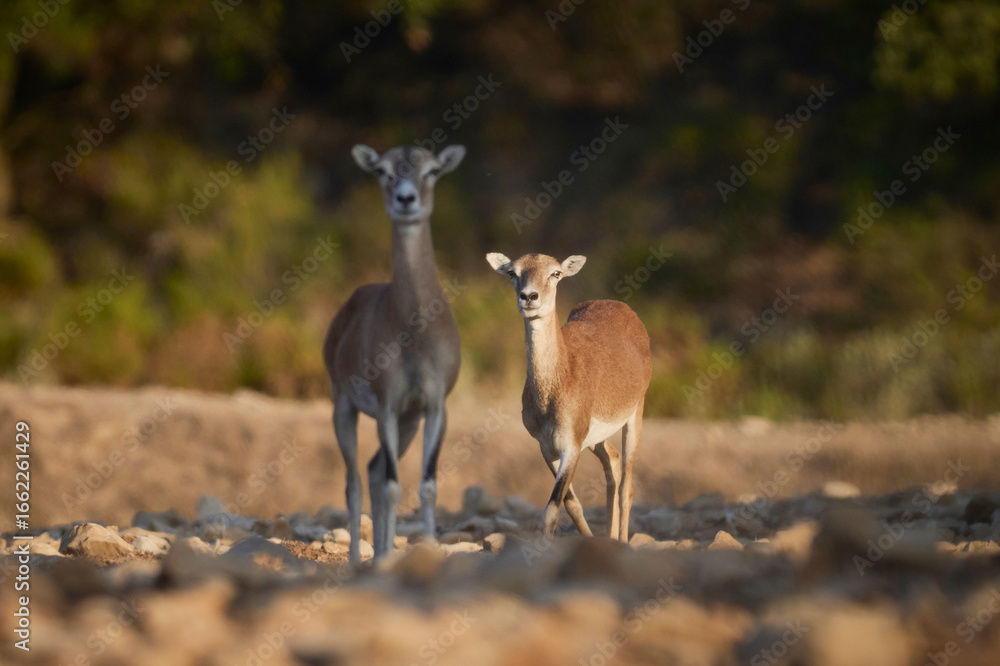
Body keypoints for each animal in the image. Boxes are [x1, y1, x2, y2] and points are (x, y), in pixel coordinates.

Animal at [324, 144, 465, 564]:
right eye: (383, 171)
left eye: (432, 170)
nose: (406, 199)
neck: (415, 332)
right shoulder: (386, 406)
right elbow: (391, 486)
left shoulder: (432, 408)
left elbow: (426, 485)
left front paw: (430, 549)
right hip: (344, 409)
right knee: (355, 481)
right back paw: (360, 558)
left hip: (407, 424)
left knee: (372, 470)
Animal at [486, 252, 652, 542]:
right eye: (512, 273)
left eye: (555, 273)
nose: (529, 297)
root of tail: (623, 308)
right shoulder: (547, 447)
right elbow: (571, 504)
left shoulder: (571, 447)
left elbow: (553, 508)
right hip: (596, 438)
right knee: (613, 463)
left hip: (634, 418)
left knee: (626, 487)